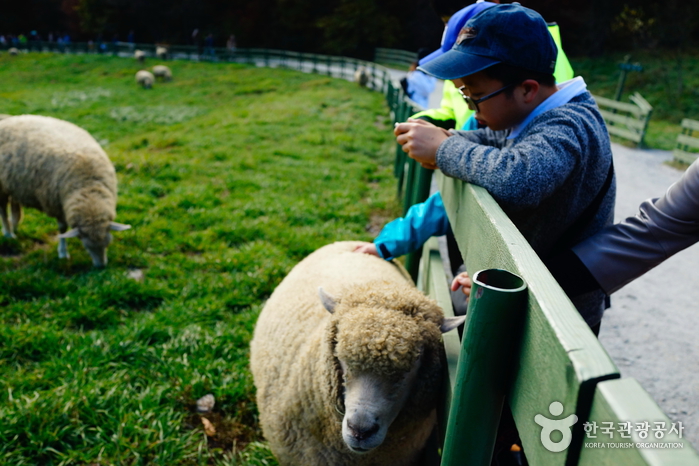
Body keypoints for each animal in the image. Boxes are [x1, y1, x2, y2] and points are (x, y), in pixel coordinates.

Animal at [0, 114, 131, 268]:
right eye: (86, 246)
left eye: (108, 243)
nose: (101, 266)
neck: (87, 189)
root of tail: (9, 119)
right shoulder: (57, 205)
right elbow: (62, 229)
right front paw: (63, 253)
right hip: (1, 186)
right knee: (3, 209)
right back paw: (8, 233)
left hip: (14, 184)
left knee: (14, 204)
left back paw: (14, 226)